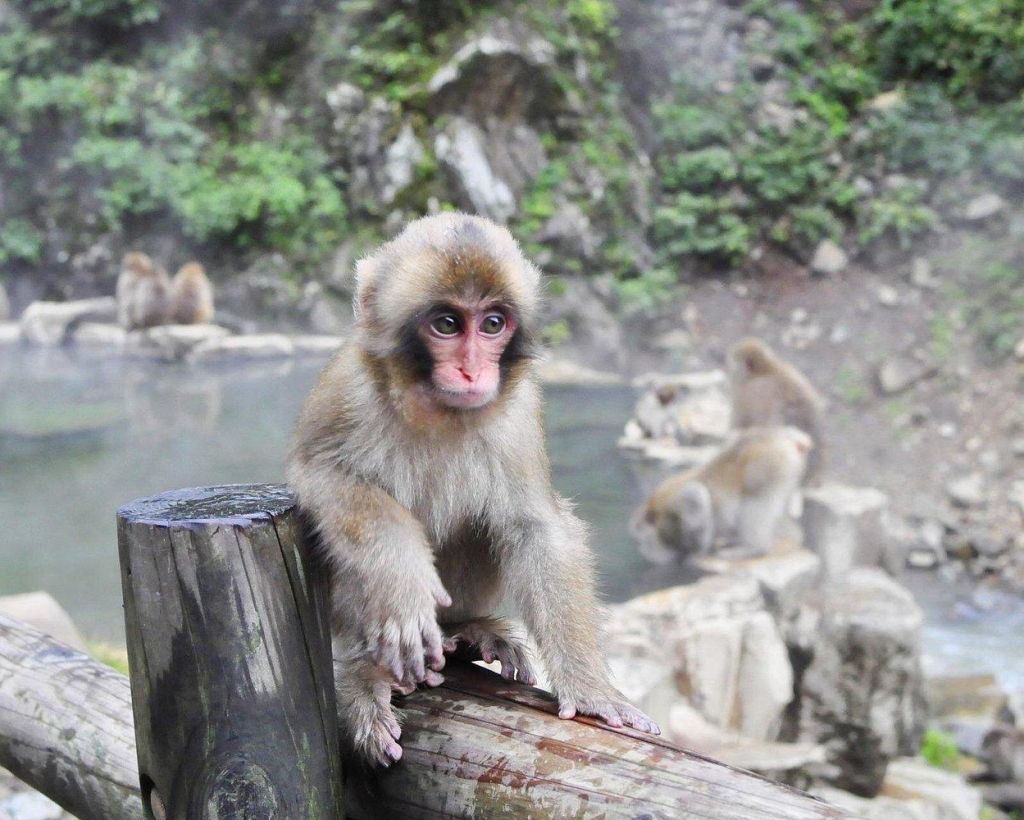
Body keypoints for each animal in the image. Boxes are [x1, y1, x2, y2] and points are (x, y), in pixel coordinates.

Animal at [288, 213, 659, 767]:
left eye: (492, 324)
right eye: (447, 324)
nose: (471, 369)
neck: (436, 407)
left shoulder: (520, 410)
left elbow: (536, 527)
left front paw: (590, 689)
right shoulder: (348, 386)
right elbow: (321, 476)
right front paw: (403, 580)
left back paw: (466, 632)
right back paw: (366, 670)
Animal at [631, 426, 812, 563]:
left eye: (642, 539)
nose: (641, 549)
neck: (657, 514)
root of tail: (781, 438)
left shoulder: (677, 508)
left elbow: (695, 497)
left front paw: (695, 550)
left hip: (768, 465)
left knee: (755, 502)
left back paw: (752, 548)